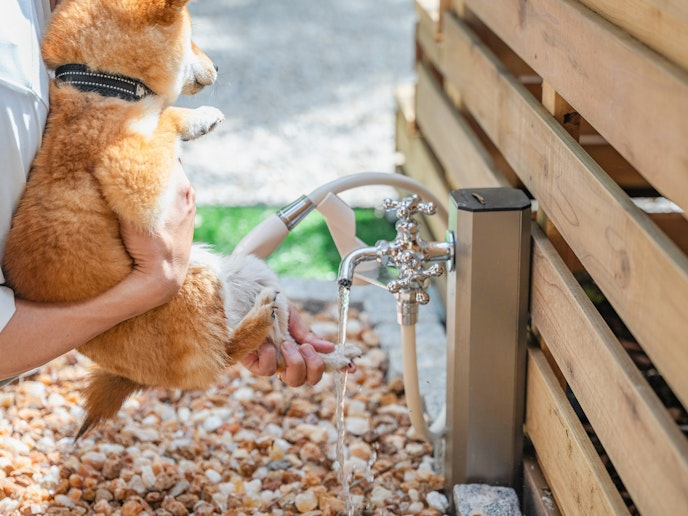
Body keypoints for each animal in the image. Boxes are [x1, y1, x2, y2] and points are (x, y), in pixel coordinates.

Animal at [4, 0, 360, 438]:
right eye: (191, 37)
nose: (218, 65)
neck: (101, 85)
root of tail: (134, 375)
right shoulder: (135, 177)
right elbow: (166, 116)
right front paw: (196, 118)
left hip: (246, 271)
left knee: (274, 352)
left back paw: (328, 355)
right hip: (193, 282)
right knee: (225, 355)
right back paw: (262, 319)